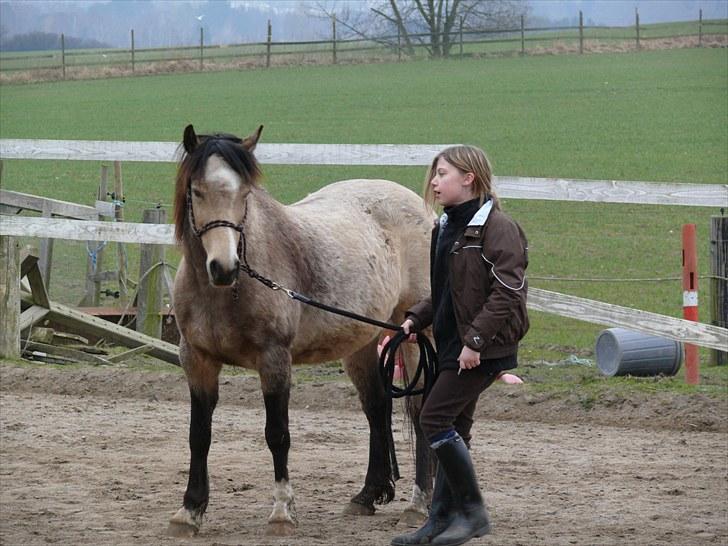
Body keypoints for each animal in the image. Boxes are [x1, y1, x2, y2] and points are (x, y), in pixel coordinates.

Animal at [168, 124, 436, 536]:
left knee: (420, 413)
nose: (224, 267)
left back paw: (418, 504)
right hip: (362, 342)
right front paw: (190, 511)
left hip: (412, 337)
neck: (228, 291)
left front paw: (282, 511)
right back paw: (367, 495)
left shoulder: (274, 360)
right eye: (196, 191)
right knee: (377, 408)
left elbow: (277, 435)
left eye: (245, 194)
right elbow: (199, 436)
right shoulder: (196, 360)